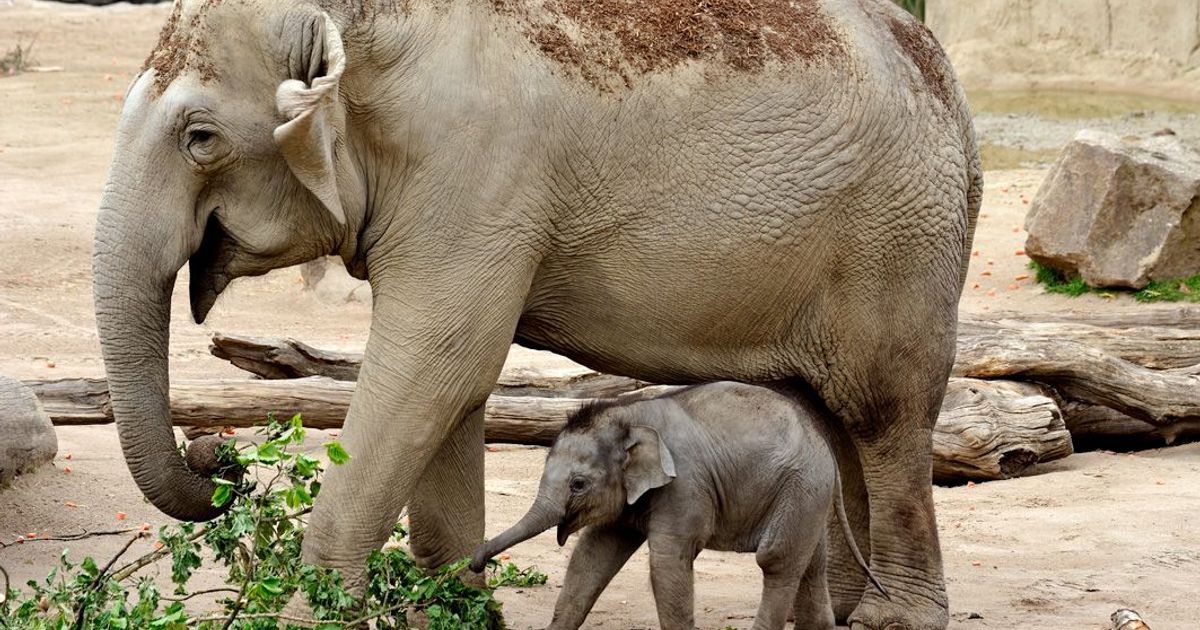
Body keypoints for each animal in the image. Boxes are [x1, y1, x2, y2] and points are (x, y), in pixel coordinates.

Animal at [470, 382, 887, 630]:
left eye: (578, 484)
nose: (474, 563)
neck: (631, 413)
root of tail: (824, 444)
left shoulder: (685, 485)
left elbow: (668, 562)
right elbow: (593, 554)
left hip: (800, 487)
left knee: (777, 562)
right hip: (808, 497)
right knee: (811, 566)